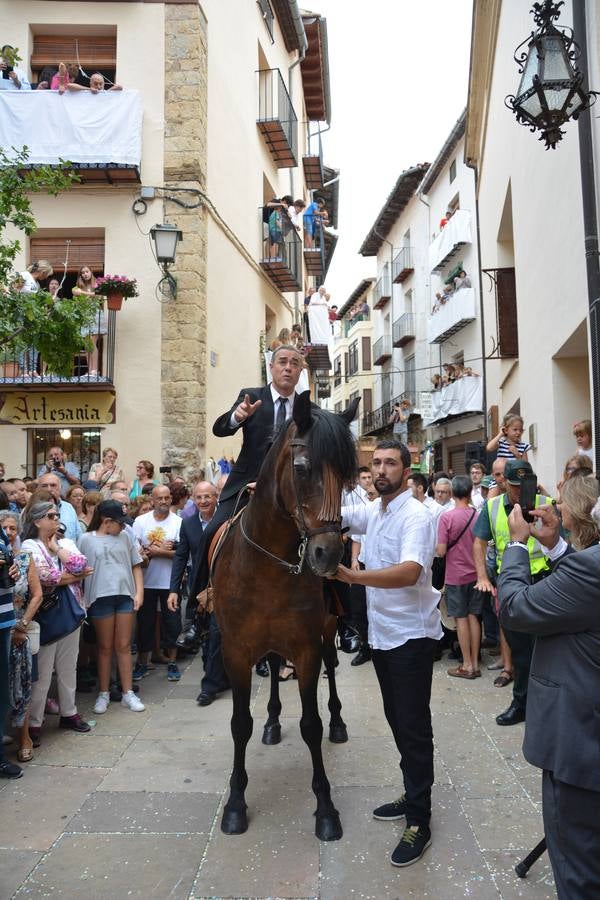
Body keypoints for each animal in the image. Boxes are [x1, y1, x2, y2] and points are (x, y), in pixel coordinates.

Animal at [213, 394, 358, 844]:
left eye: (349, 475)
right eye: (302, 468)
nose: (328, 554)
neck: (269, 563)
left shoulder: (307, 648)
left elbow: (311, 723)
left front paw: (325, 808)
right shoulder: (236, 651)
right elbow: (239, 724)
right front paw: (235, 804)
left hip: (326, 632)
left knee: (330, 666)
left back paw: (338, 723)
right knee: (276, 668)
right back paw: (274, 721)